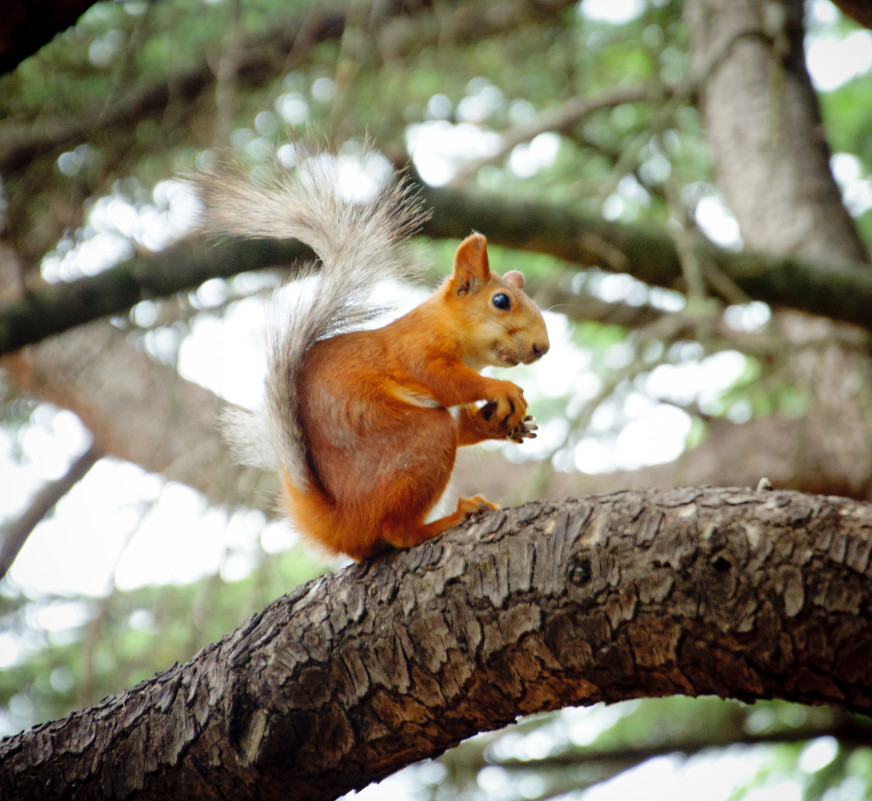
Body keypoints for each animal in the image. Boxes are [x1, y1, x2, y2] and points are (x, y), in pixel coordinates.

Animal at [198, 152, 552, 564]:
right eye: (501, 300)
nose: (542, 347)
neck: (447, 325)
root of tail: (344, 523)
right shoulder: (415, 351)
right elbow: (445, 381)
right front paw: (501, 388)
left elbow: (464, 422)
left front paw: (499, 425)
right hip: (423, 440)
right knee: (398, 531)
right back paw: (451, 518)